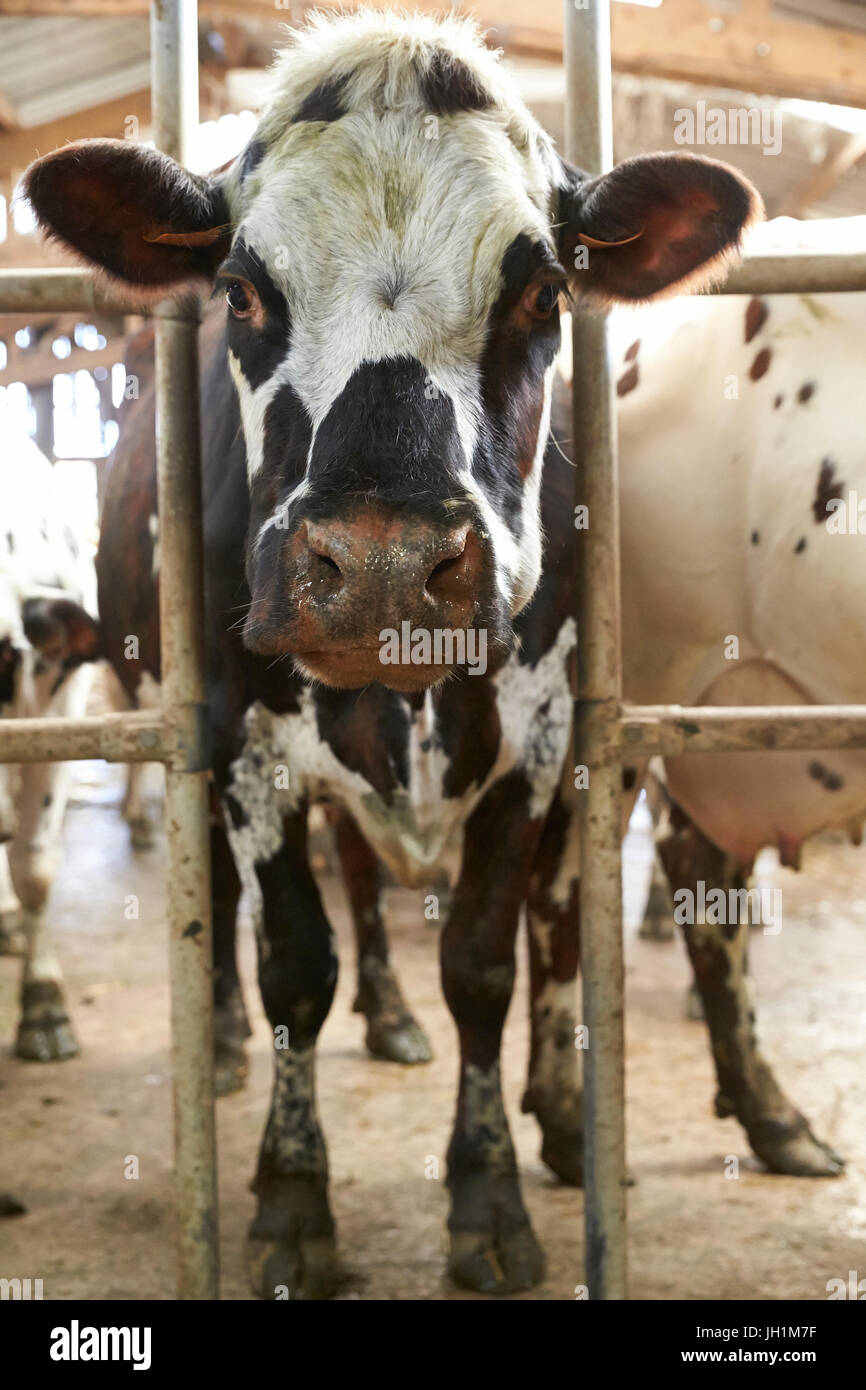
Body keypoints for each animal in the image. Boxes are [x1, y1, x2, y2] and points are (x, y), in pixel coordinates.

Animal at [27, 5, 817, 1295]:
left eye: (541, 292)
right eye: (240, 291)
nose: (386, 566)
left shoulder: (534, 747)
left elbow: (485, 965)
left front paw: (487, 1194)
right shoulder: (239, 740)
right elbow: (293, 964)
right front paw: (292, 1198)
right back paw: (226, 1044)